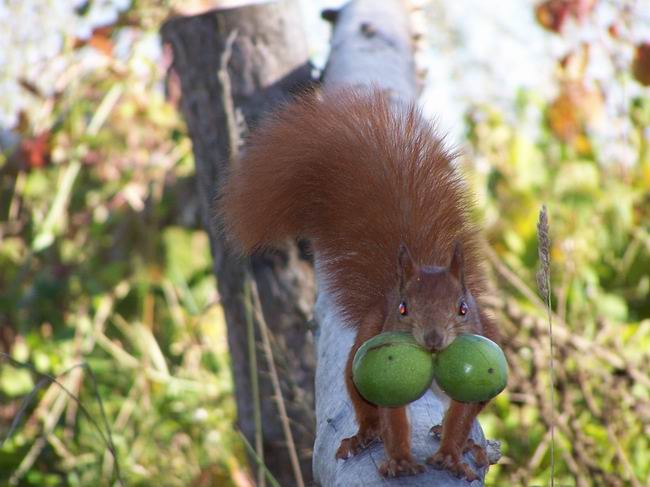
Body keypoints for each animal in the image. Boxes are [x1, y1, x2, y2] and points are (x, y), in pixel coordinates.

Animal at [218, 87, 496, 480]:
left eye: (462, 308)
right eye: (403, 308)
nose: (433, 339)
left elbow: (460, 417)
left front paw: (452, 454)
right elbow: (393, 419)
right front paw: (399, 460)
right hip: (361, 351)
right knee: (363, 404)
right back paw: (364, 434)